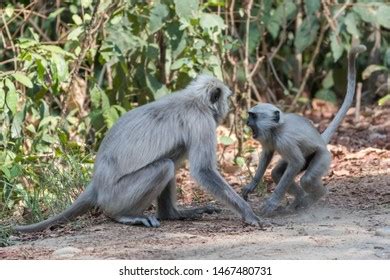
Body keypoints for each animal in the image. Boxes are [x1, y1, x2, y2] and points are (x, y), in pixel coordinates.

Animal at [14, 74, 262, 232]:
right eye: (226, 99)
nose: (229, 107)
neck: (195, 100)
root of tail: (97, 184)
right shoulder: (202, 121)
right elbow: (203, 171)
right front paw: (248, 213)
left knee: (171, 158)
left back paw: (172, 214)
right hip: (117, 194)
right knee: (165, 165)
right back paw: (125, 216)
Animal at [242, 44, 368, 215]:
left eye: (253, 116)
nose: (247, 121)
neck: (277, 128)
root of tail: (321, 139)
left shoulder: (285, 140)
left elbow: (296, 163)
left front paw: (272, 202)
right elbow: (268, 154)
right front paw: (252, 184)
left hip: (323, 156)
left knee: (307, 178)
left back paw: (313, 197)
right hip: (310, 155)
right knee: (278, 173)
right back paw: (299, 199)